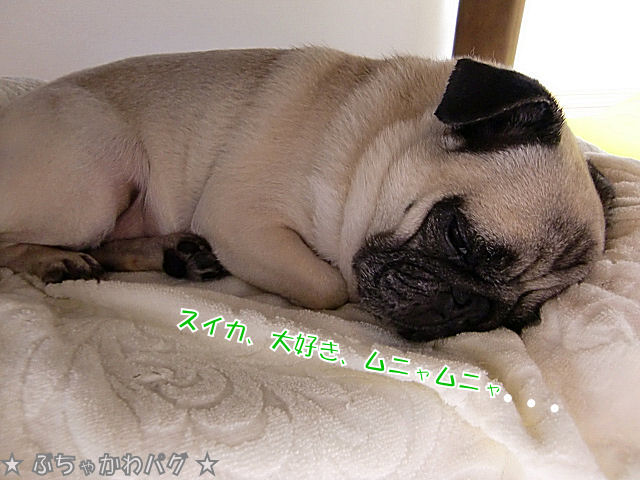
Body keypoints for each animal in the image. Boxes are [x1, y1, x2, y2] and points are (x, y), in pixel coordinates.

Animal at [0, 47, 614, 341]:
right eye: (459, 238)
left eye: (512, 322)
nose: (467, 307)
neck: (371, 144)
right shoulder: (239, 220)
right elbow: (330, 285)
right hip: (97, 174)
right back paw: (56, 261)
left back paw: (175, 253)